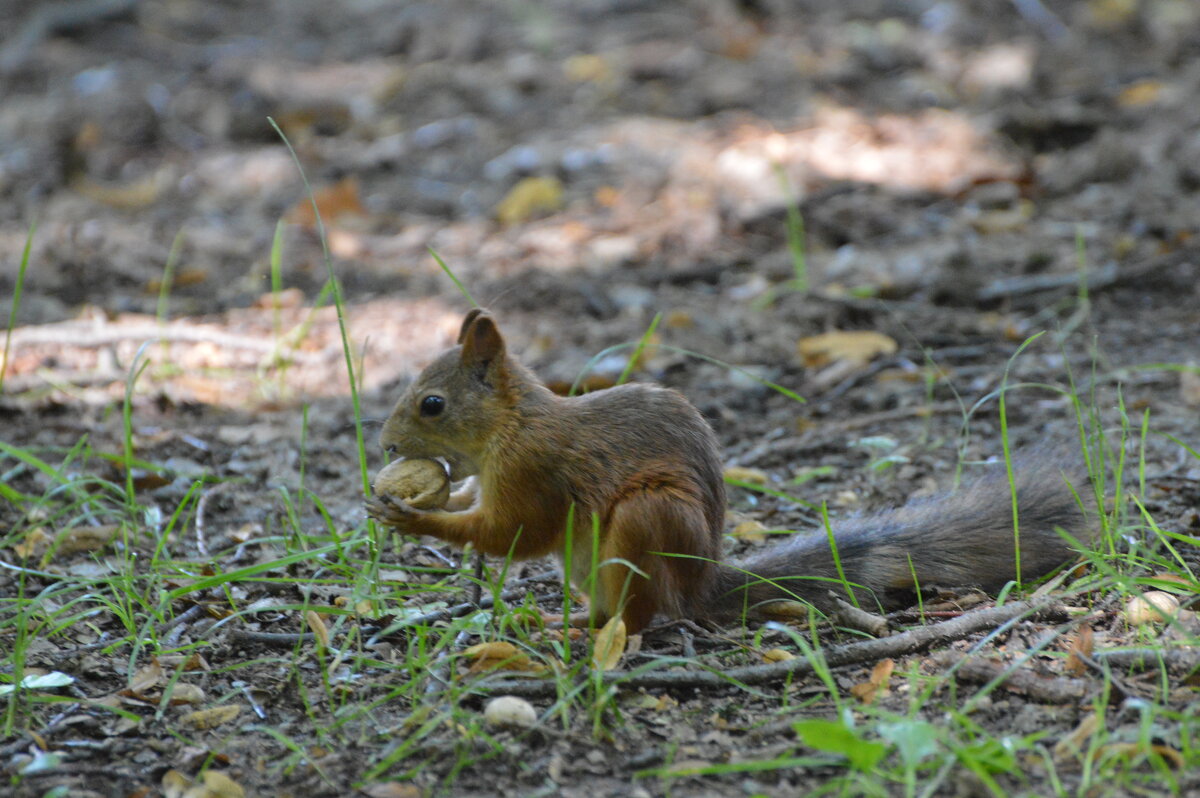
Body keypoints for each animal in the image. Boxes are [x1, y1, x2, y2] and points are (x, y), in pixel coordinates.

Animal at [364, 307, 1089, 633]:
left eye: (432, 404)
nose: (389, 449)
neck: (511, 427)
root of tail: (703, 585)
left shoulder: (535, 471)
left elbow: (513, 533)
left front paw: (411, 517)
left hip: (650, 518)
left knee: (639, 614)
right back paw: (560, 622)